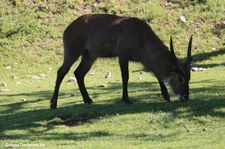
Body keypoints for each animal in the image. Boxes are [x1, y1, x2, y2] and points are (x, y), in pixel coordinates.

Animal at [50, 14, 192, 109]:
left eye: (188, 78)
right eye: (180, 78)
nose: (186, 97)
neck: (141, 35)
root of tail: (67, 28)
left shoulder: (144, 60)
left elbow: (157, 74)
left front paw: (166, 96)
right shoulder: (123, 56)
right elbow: (126, 77)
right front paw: (126, 99)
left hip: (90, 56)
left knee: (79, 73)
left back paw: (88, 100)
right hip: (72, 52)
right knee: (61, 72)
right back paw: (53, 103)